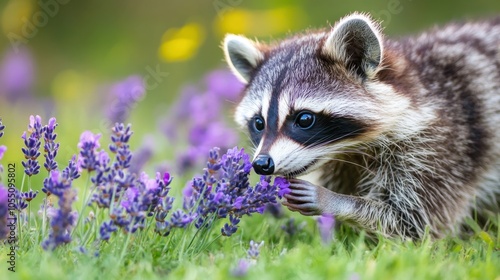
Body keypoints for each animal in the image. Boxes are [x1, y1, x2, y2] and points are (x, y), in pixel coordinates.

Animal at [222, 13, 500, 238]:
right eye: (259, 122)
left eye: (304, 119)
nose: (262, 164)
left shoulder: (444, 143)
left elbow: (414, 221)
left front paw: (336, 202)